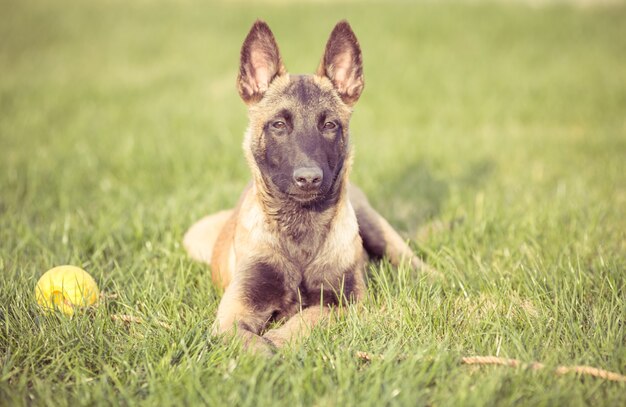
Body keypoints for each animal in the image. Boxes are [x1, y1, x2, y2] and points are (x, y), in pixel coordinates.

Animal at [180, 20, 426, 356]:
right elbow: (246, 339)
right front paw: (265, 353)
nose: (308, 178)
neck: (301, 228)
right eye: (279, 125)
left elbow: (311, 315)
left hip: (377, 228)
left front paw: (280, 339)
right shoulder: (233, 313)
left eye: (329, 125)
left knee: (411, 262)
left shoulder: (348, 302)